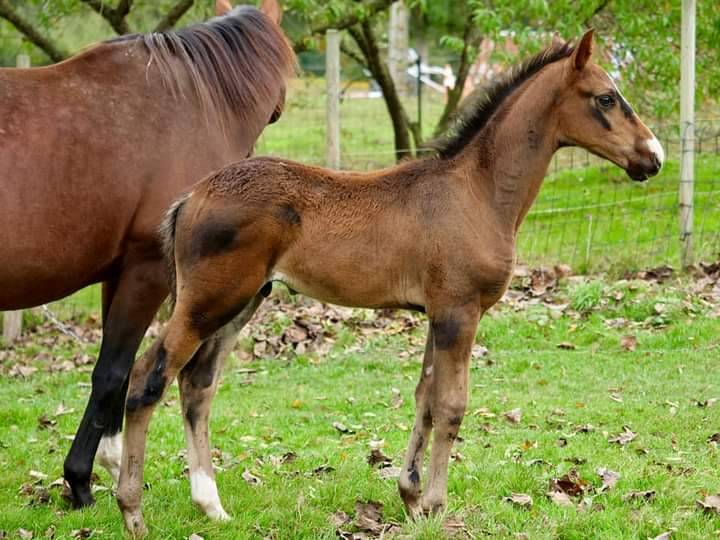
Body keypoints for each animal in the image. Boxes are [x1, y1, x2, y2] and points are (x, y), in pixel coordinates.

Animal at [0, 0, 295, 508]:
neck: (191, 99)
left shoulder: (116, 273)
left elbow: (116, 372)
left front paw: (112, 458)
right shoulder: (147, 270)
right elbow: (112, 371)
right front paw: (80, 481)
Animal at [116, 30, 664, 535]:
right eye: (606, 97)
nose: (653, 157)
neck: (477, 193)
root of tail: (190, 197)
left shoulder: (438, 314)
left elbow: (424, 398)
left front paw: (412, 498)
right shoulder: (460, 312)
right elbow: (451, 404)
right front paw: (438, 506)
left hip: (243, 302)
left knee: (196, 384)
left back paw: (211, 505)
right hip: (208, 301)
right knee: (148, 378)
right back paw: (133, 511)